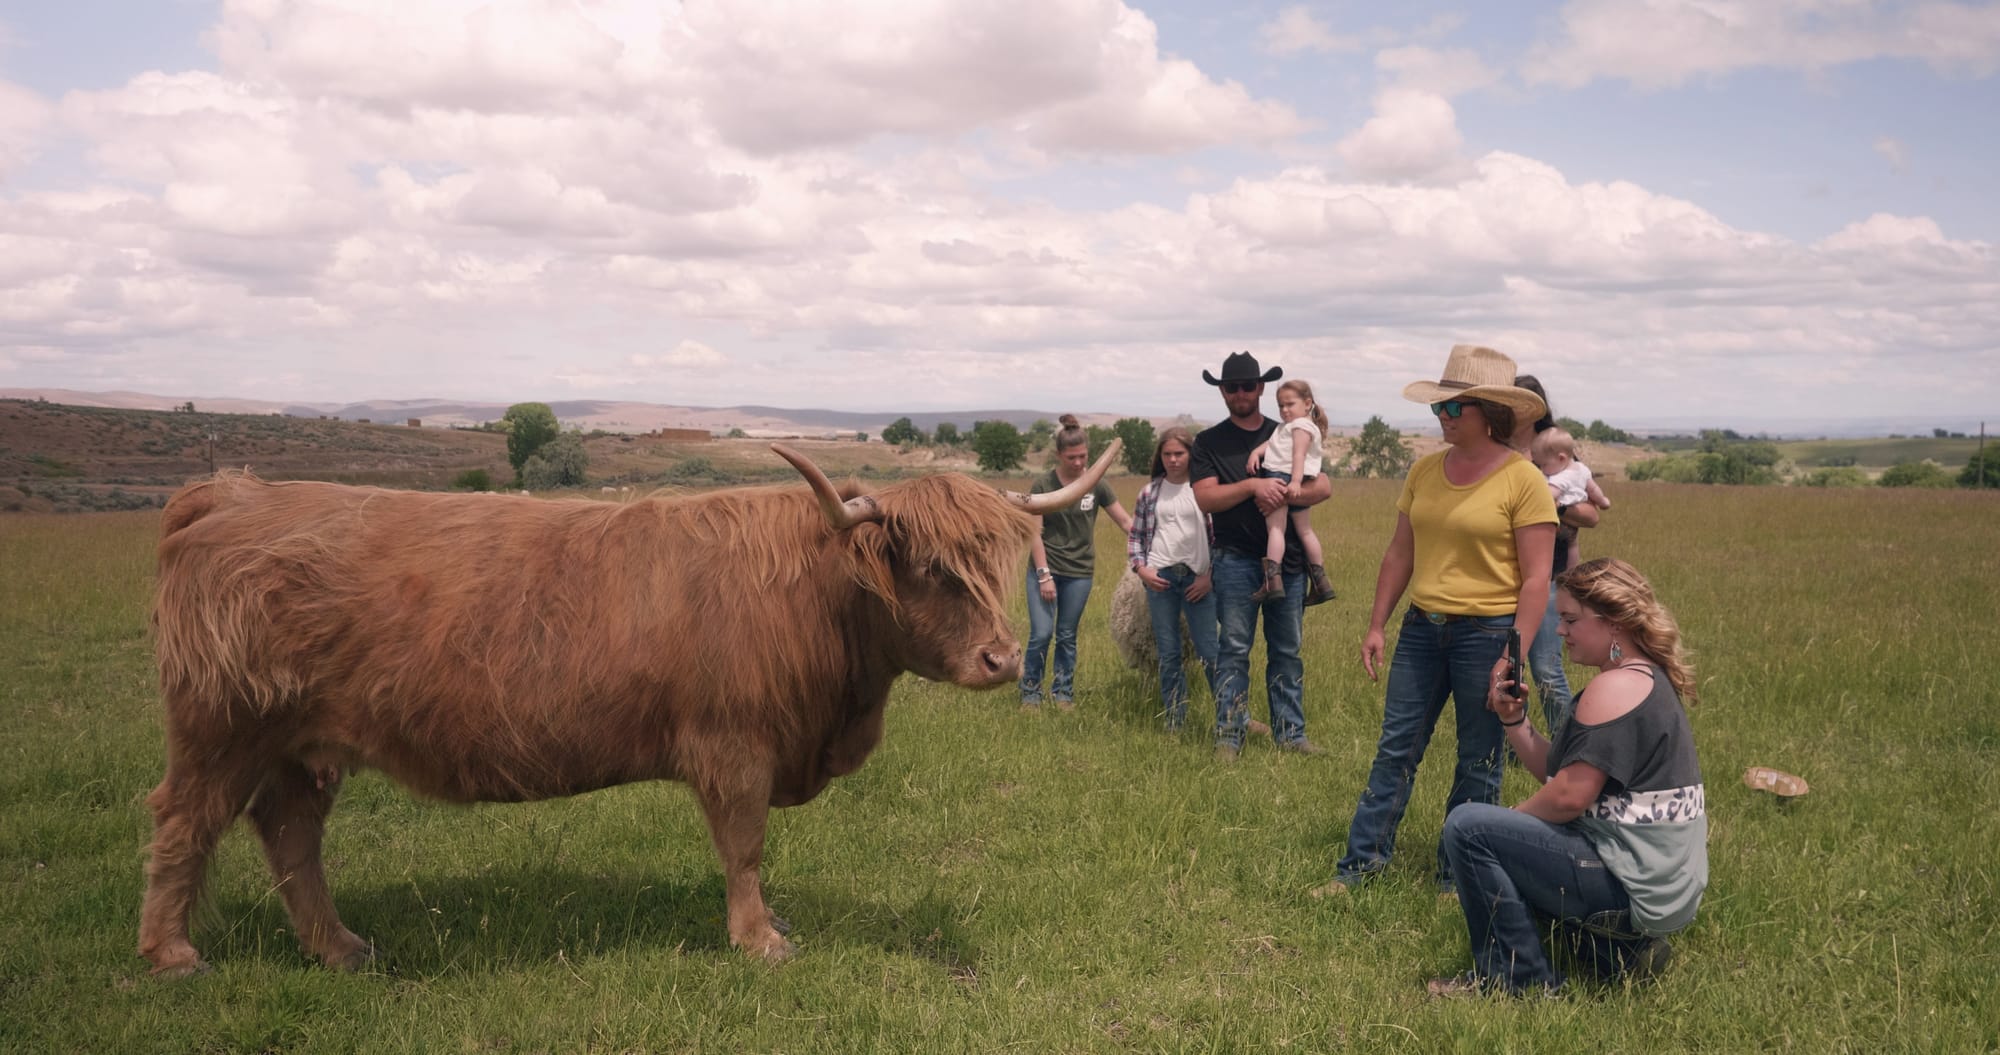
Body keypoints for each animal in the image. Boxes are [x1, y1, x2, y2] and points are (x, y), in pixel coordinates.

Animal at [139, 440, 1120, 976]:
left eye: (990, 562)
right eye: (930, 568)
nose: (1001, 658)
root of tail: (230, 493)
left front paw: (765, 929)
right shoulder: (734, 746)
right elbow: (745, 846)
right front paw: (760, 939)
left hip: (303, 745)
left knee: (290, 833)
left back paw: (339, 946)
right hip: (221, 727)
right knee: (186, 823)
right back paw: (171, 954)